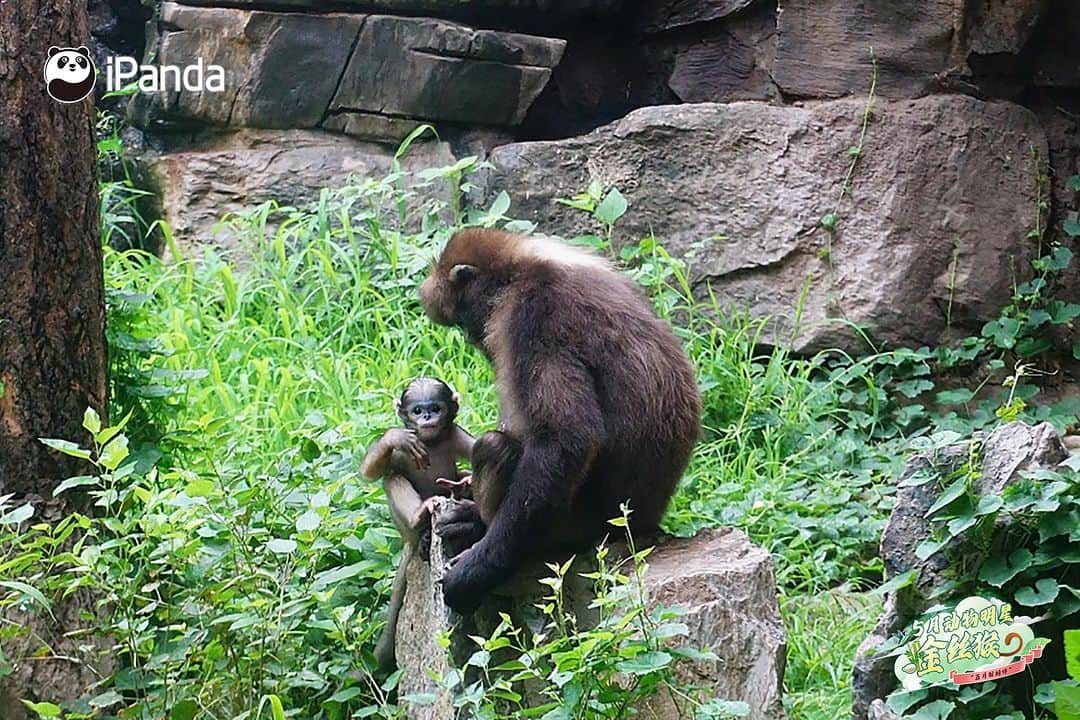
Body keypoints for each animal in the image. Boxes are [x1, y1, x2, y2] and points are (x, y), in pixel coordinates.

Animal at [362, 377, 473, 669]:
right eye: (417, 410)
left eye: (435, 408)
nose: (427, 418)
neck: (431, 442)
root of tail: (407, 540)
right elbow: (370, 472)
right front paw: (395, 437)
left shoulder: (456, 434)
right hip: (404, 527)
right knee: (391, 478)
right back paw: (420, 518)